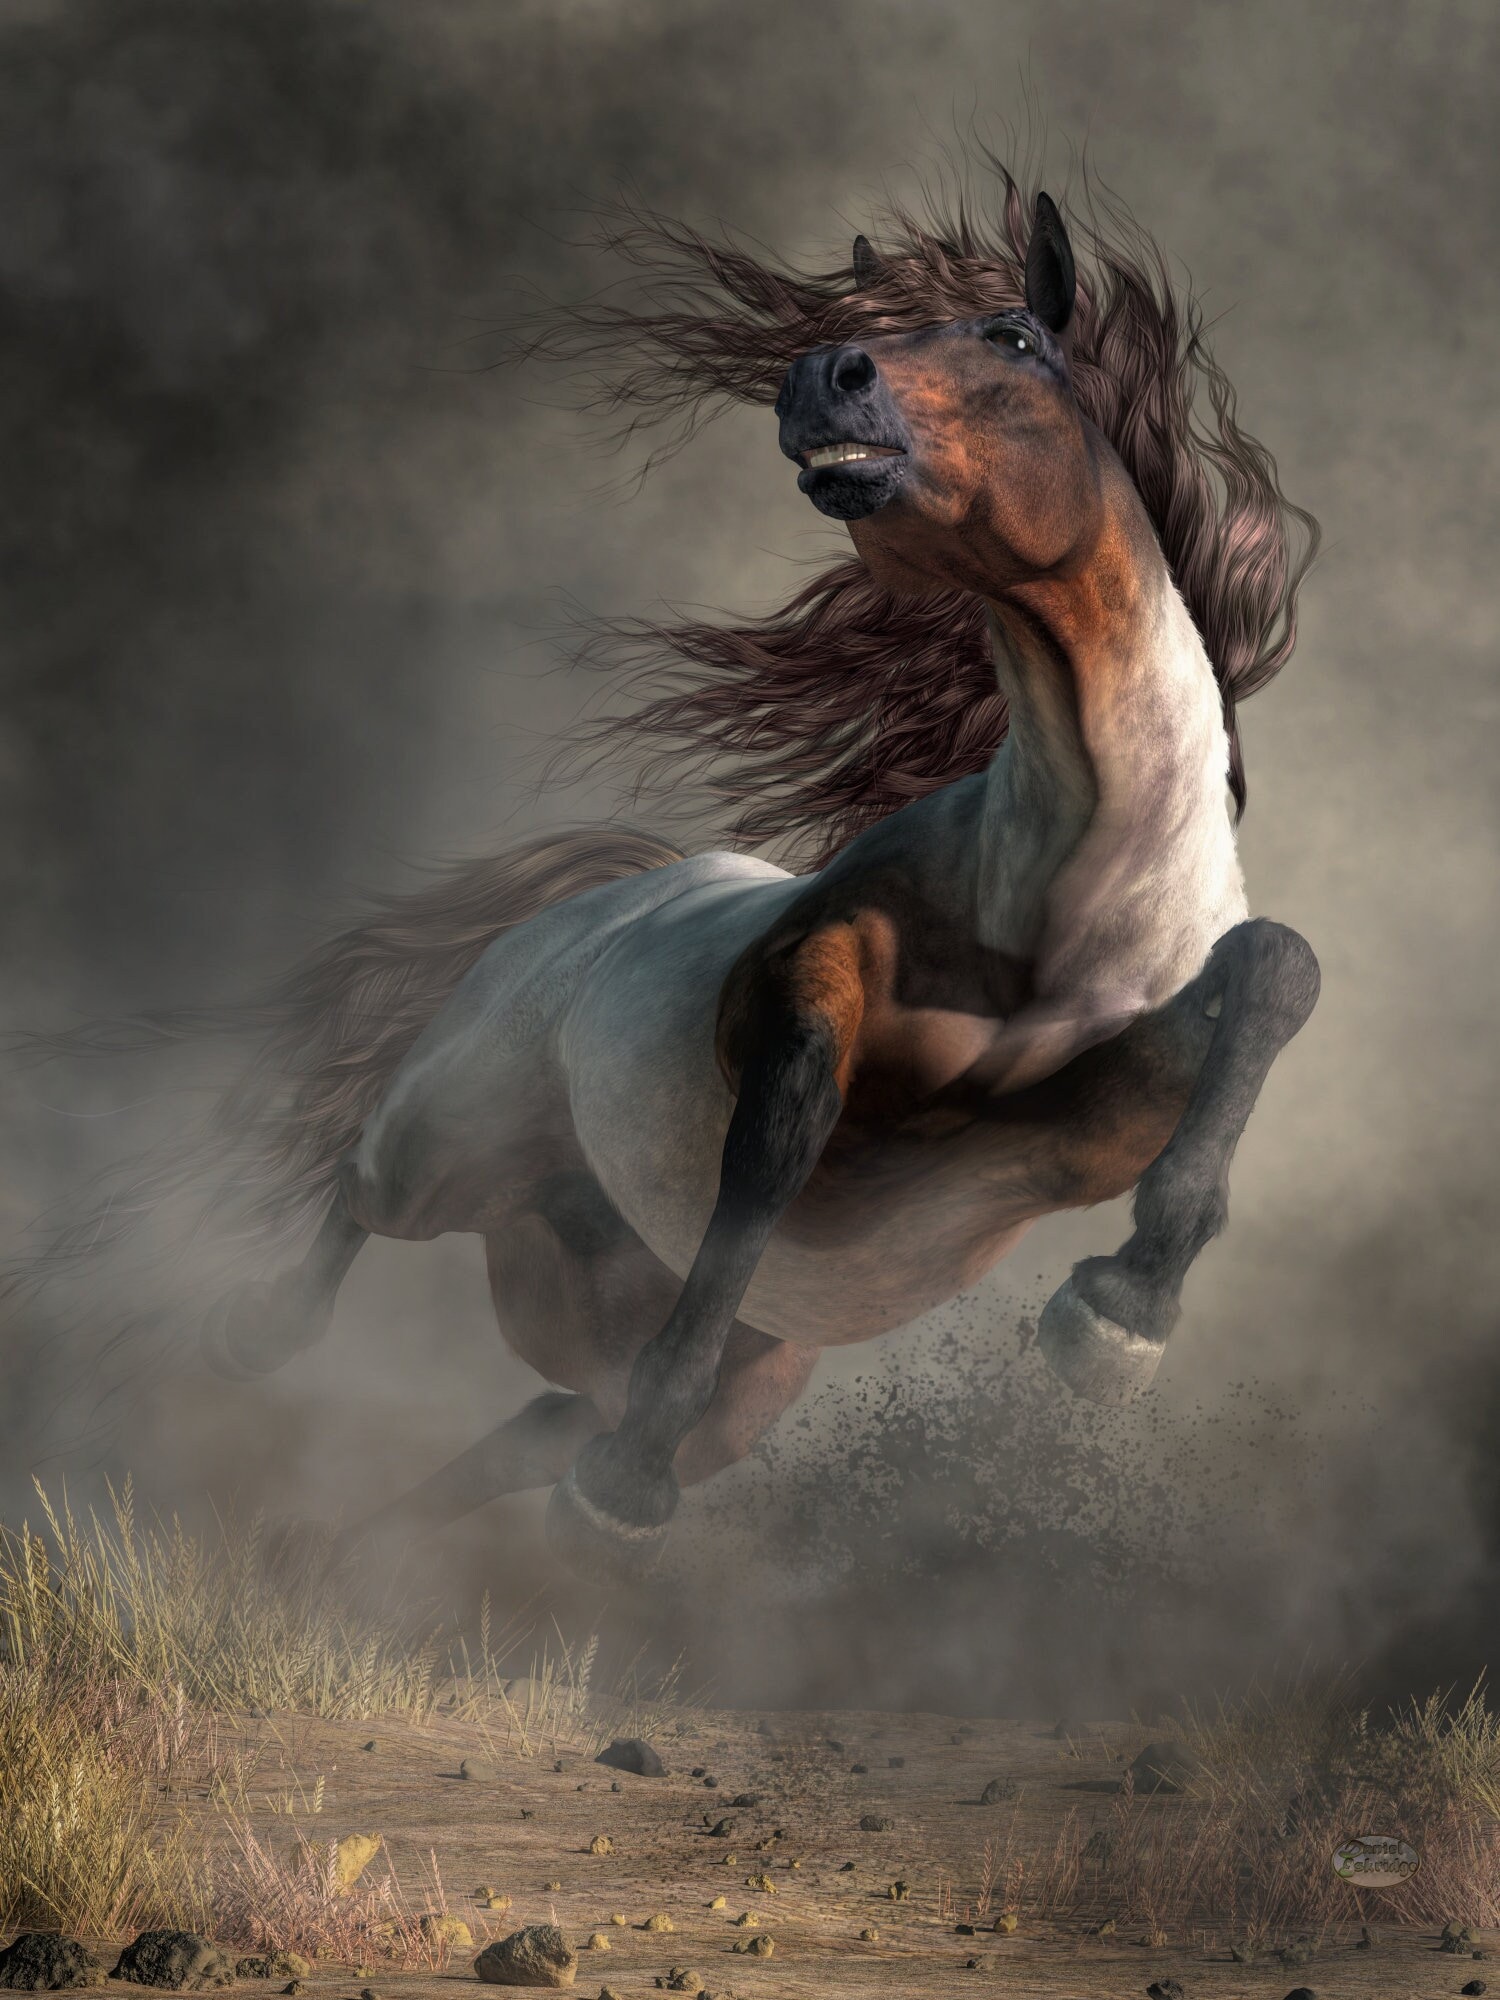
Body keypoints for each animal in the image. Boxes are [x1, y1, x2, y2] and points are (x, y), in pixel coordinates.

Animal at [180, 173, 1321, 1586]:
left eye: (1012, 336)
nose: (819, 378)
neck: (1059, 916)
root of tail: (632, 885)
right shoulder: (791, 997)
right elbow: (780, 1129)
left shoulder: (1106, 1111)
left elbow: (1276, 967)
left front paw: (1118, 1317)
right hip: (446, 1141)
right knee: (358, 1194)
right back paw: (258, 1342)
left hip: (715, 1368)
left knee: (540, 1427)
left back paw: (366, 1553)